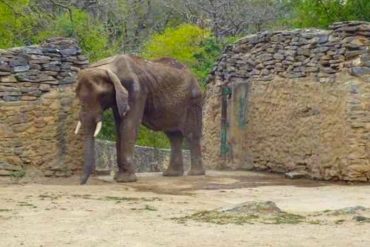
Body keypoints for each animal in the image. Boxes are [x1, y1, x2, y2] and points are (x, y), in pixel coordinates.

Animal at [73, 55, 204, 184]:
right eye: (77, 94)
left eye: (102, 95)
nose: (81, 183)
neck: (110, 66)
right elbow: (119, 128)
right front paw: (119, 177)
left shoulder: (136, 91)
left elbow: (128, 126)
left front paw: (125, 180)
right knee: (173, 136)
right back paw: (171, 174)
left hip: (193, 102)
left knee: (191, 135)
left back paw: (195, 174)